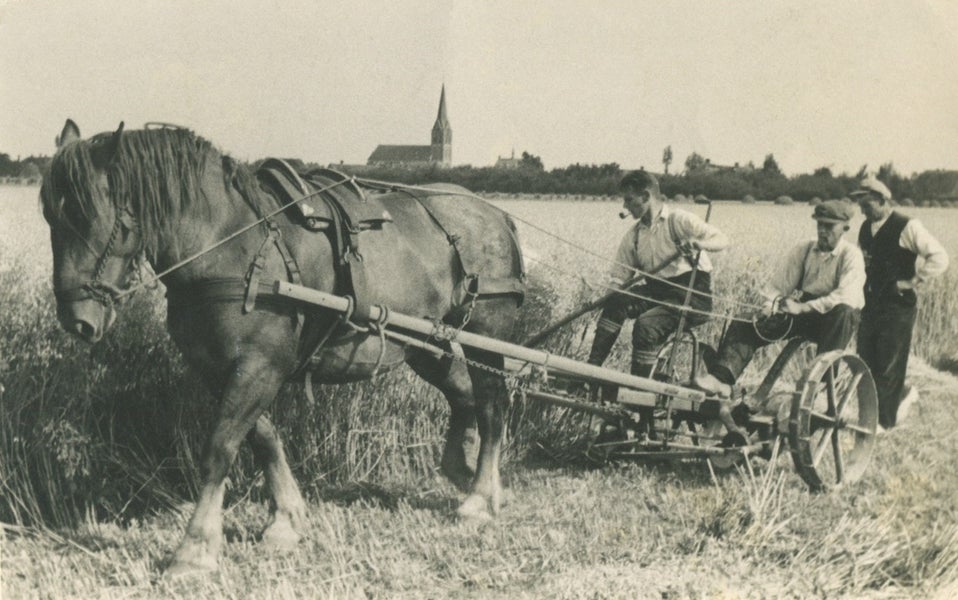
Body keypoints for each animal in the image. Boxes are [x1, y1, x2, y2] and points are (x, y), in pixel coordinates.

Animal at [41, 119, 525, 575]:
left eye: (98, 219)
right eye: (49, 215)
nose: (77, 319)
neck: (229, 243)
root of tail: (494, 213)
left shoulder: (258, 365)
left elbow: (220, 448)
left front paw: (195, 548)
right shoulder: (221, 368)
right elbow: (263, 437)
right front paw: (285, 519)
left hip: (487, 332)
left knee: (492, 404)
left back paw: (480, 497)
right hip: (425, 342)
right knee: (464, 395)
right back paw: (468, 473)